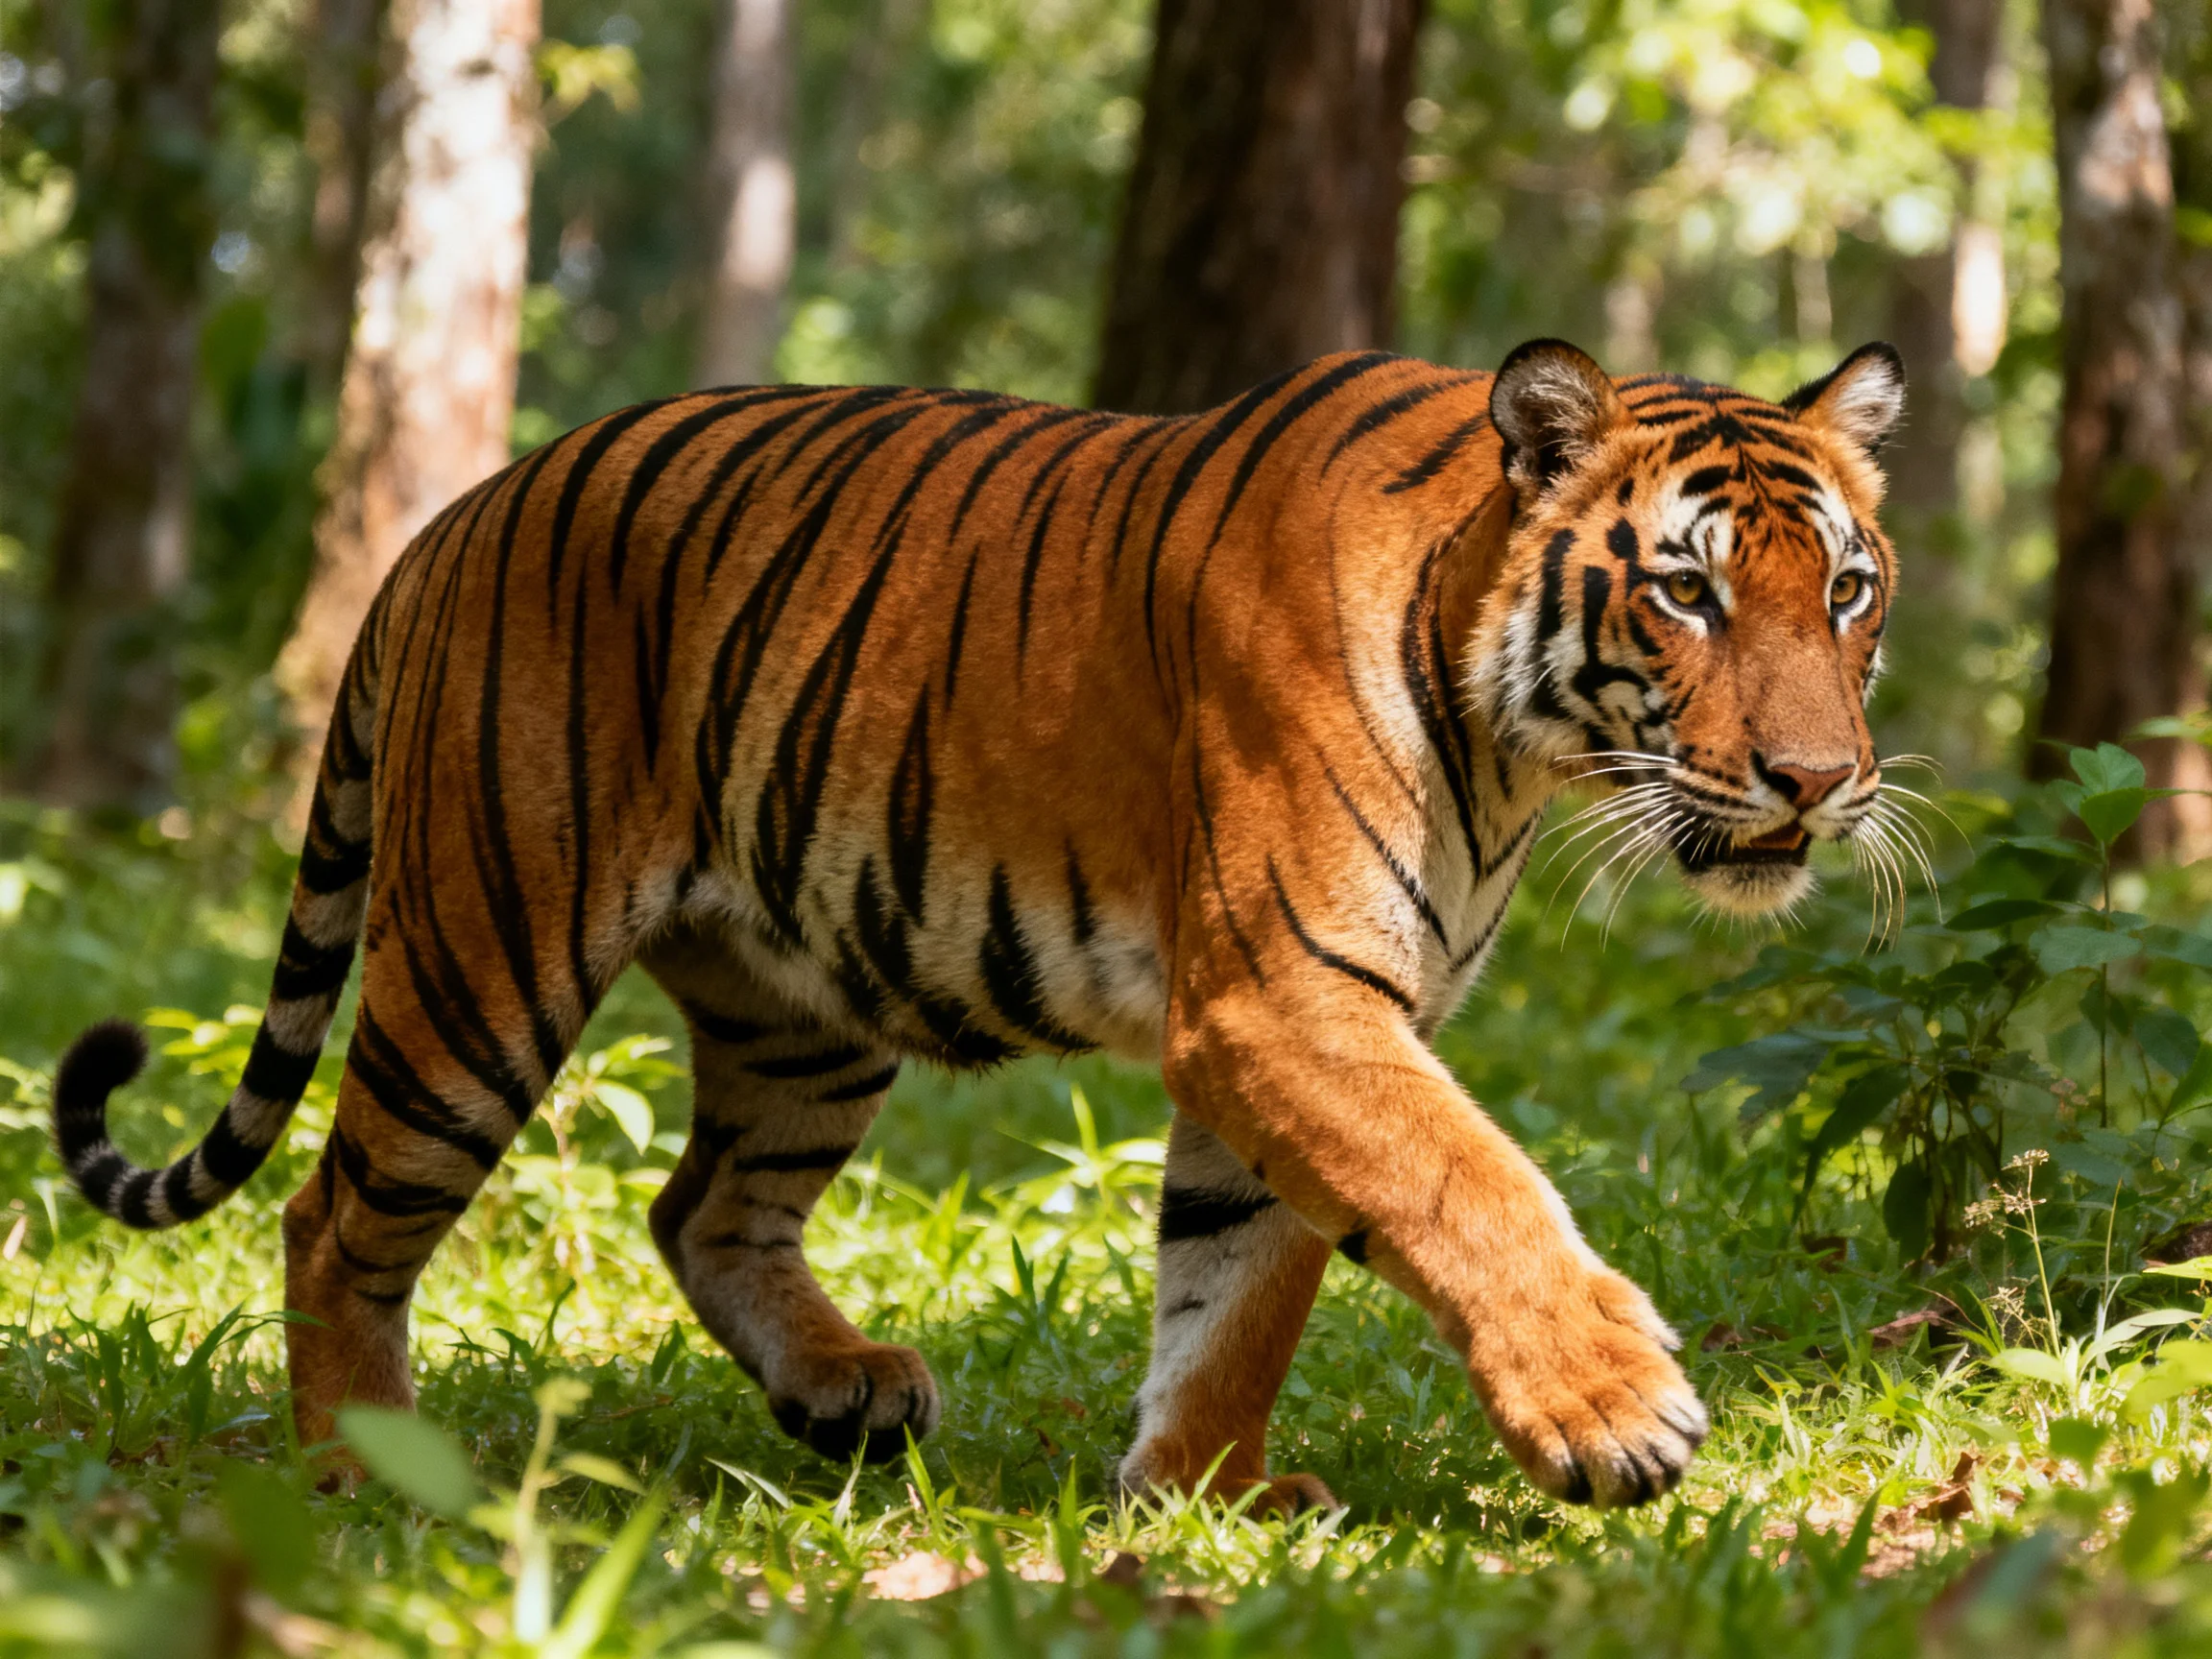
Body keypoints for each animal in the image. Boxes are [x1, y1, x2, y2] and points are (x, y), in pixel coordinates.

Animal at [53, 339, 1906, 1512]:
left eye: (1845, 589)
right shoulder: (1284, 997)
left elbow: (1240, 1277)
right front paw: (1615, 1412)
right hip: (482, 954)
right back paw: (370, 1474)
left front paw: (1200, 1494)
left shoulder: (1304, 1021)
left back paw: (840, 1388)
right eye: (1683, 592)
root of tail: (447, 523)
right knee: (332, 1215)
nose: (1818, 780)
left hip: (800, 1003)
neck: (1507, 733)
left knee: (702, 1204)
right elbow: (1464, 1187)